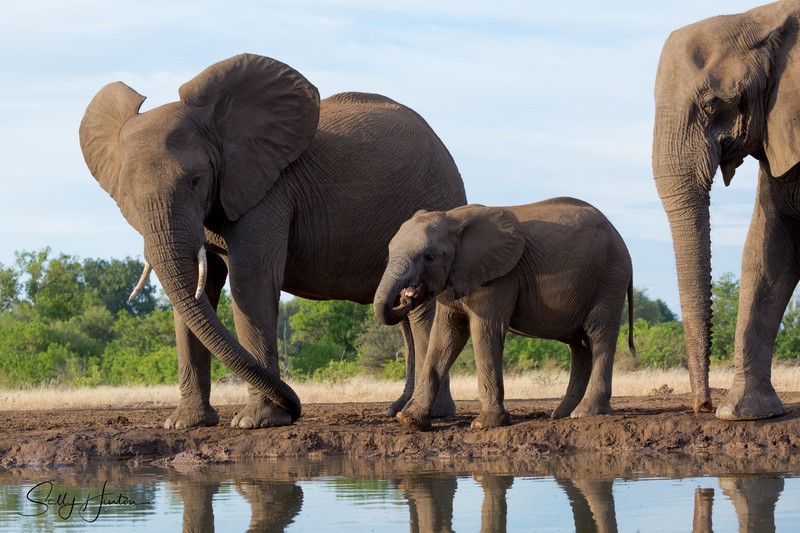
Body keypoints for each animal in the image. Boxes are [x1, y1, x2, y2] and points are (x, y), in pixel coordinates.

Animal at [79, 53, 466, 429]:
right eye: (124, 195)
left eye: (196, 180)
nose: (296, 407)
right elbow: (197, 292)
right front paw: (184, 425)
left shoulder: (269, 190)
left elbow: (251, 282)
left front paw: (255, 423)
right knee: (404, 312)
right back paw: (397, 410)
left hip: (434, 198)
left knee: (425, 309)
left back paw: (431, 414)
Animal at [374, 198, 634, 431]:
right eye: (389, 252)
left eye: (429, 256)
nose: (406, 296)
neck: (454, 219)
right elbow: (445, 336)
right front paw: (409, 421)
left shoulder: (499, 278)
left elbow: (485, 332)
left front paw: (485, 424)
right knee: (579, 345)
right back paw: (561, 414)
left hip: (609, 280)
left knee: (599, 336)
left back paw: (585, 413)